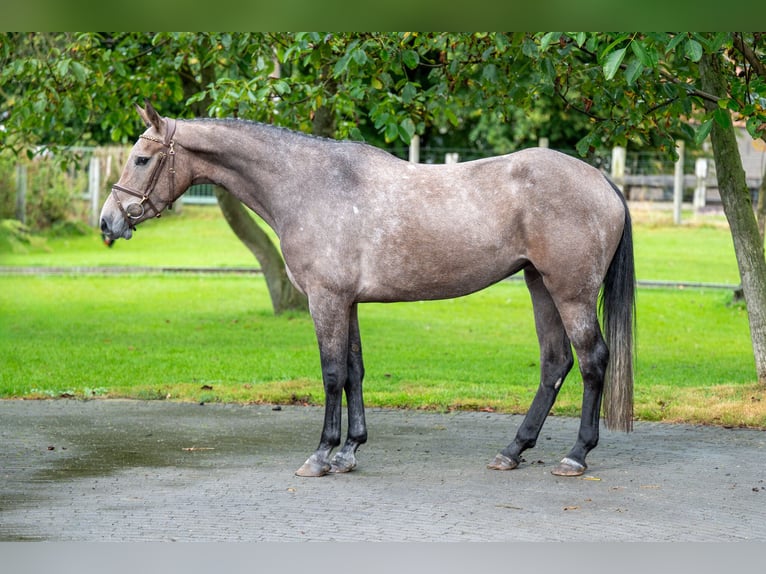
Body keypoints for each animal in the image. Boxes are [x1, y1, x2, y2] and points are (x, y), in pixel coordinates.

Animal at [99, 104, 632, 482]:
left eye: (141, 158)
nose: (108, 222)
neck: (310, 186)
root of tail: (601, 180)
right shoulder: (348, 303)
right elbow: (355, 372)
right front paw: (350, 451)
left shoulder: (326, 300)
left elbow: (332, 374)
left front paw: (321, 455)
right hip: (540, 285)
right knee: (555, 364)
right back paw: (512, 451)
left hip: (570, 293)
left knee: (592, 361)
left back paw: (576, 456)